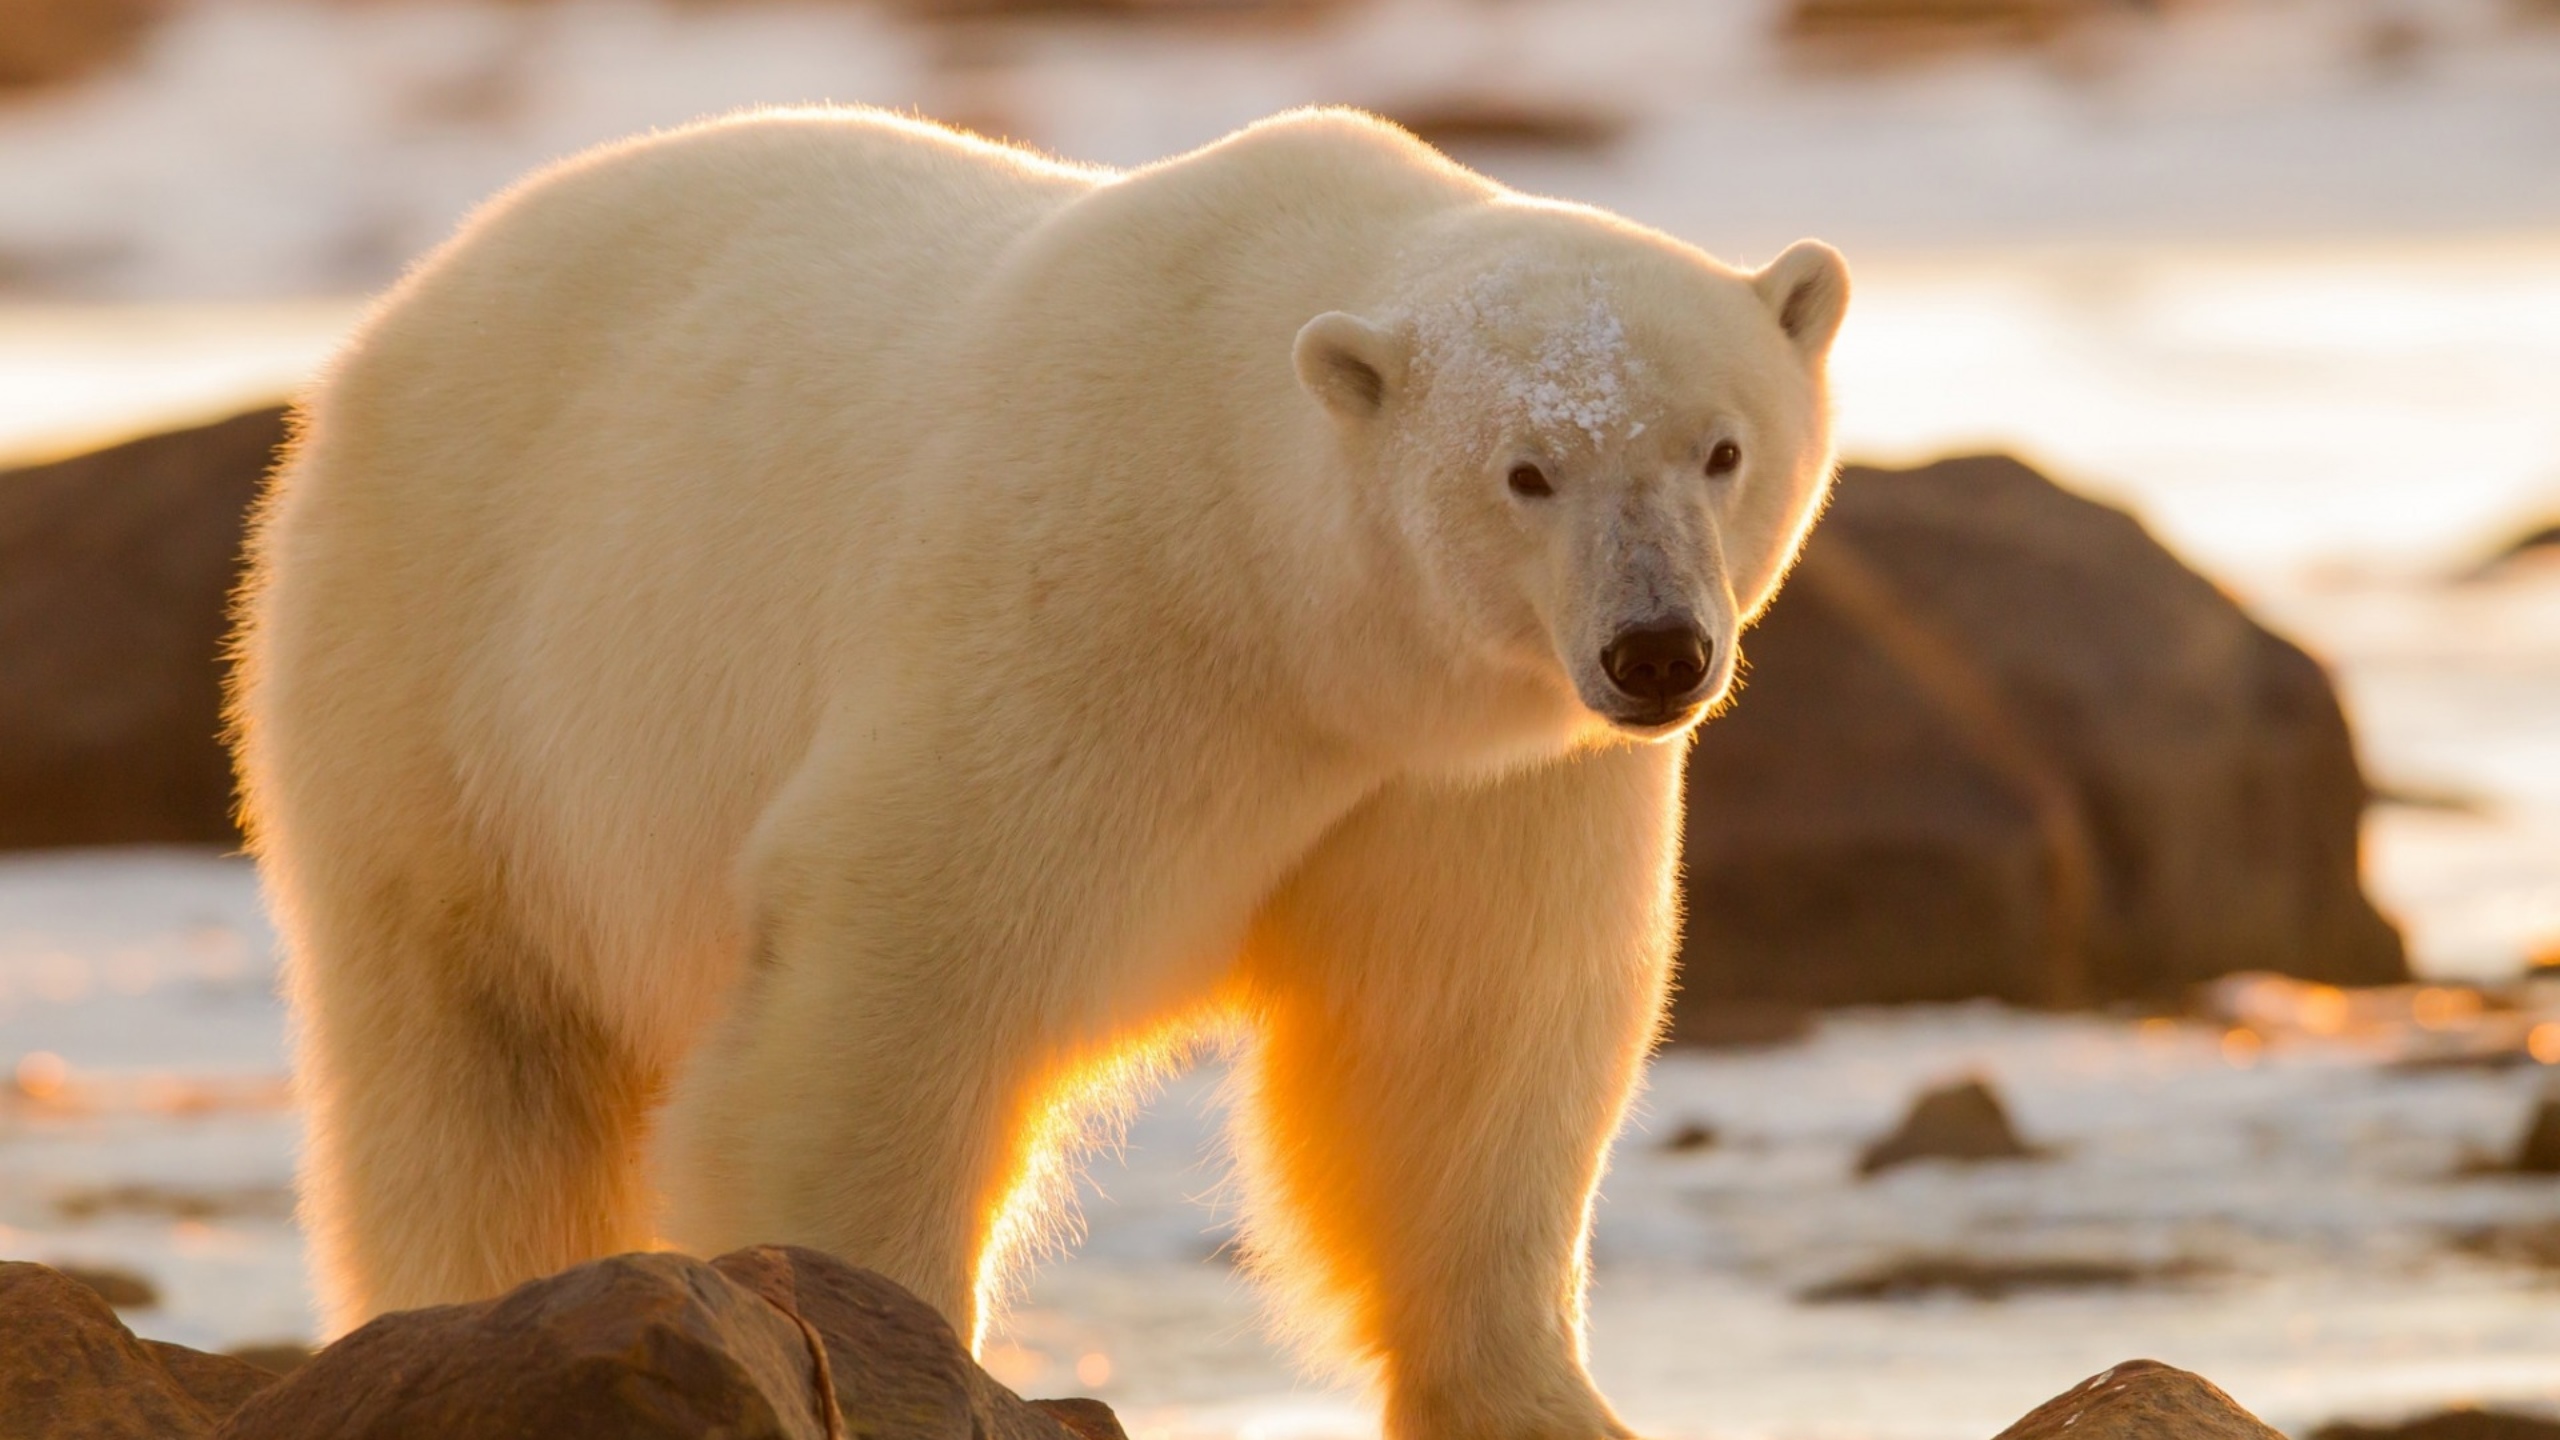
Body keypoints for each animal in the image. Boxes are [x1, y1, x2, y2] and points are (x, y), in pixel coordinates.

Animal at [230, 106, 1843, 1424]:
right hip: (446, 683)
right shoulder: (1078, 621)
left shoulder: (1470, 782)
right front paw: (884, 1347)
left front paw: (1543, 1398)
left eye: (1720, 450)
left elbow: (1463, 1044)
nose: (1656, 650)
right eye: (1527, 472)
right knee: (478, 1063)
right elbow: (897, 986)